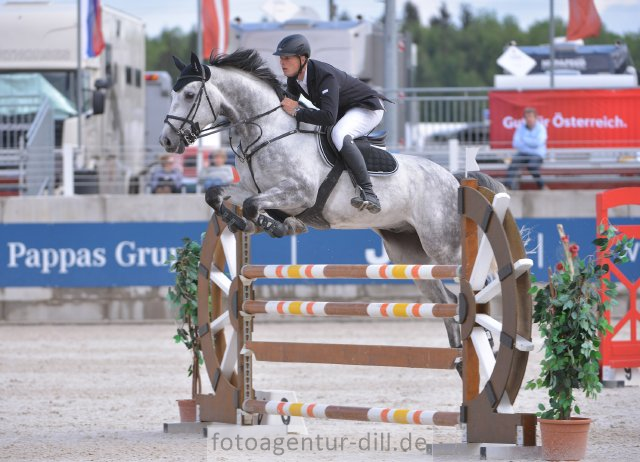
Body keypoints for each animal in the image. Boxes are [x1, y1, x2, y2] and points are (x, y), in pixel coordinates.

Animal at [160, 50, 504, 352]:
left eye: (189, 94)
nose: (167, 141)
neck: (265, 133)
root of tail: (454, 179)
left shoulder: (299, 191)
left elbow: (254, 206)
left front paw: (278, 226)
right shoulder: (249, 186)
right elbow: (217, 195)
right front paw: (240, 222)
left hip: (445, 246)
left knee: (481, 284)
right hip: (409, 255)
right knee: (446, 302)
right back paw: (458, 355)